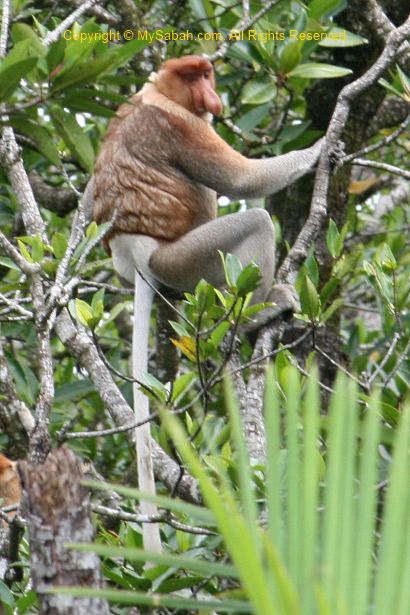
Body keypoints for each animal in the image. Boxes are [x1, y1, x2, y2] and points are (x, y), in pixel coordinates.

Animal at [89, 54, 324, 552]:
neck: (158, 93)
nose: (211, 97)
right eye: (193, 76)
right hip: (186, 258)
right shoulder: (183, 126)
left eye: (206, 73)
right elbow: (244, 178)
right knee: (255, 222)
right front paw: (324, 144)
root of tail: (135, 250)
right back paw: (260, 314)